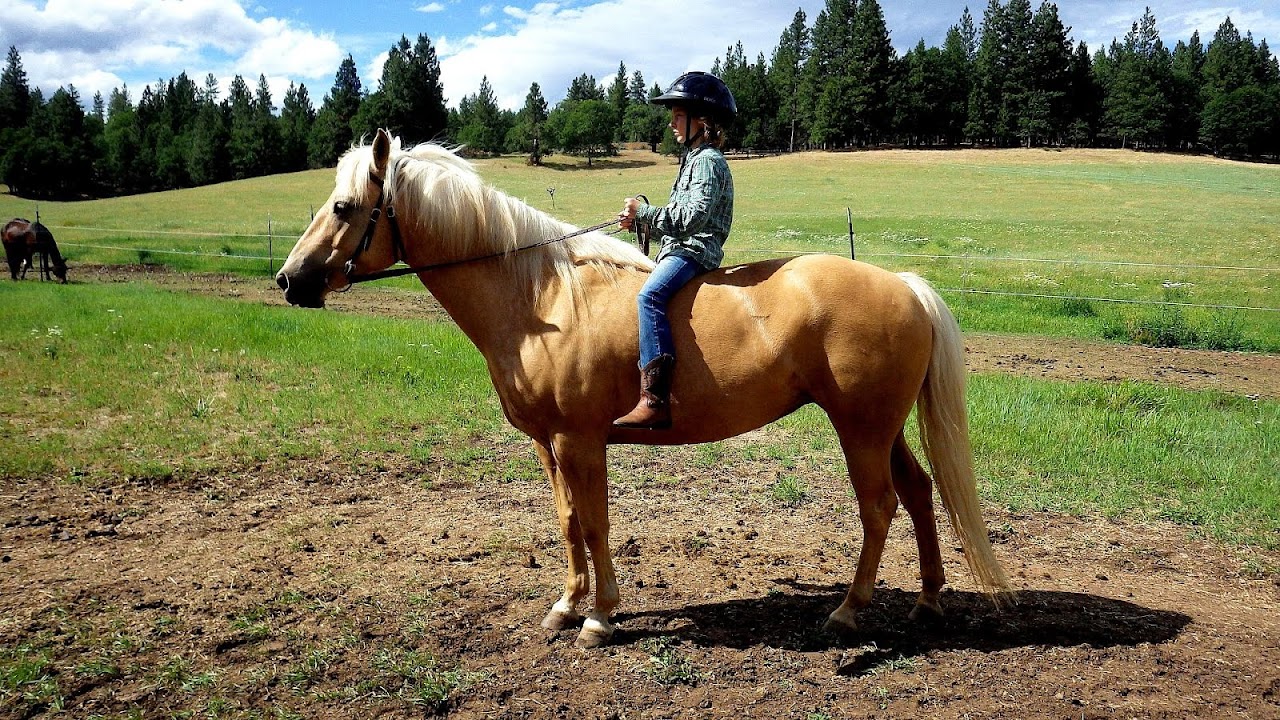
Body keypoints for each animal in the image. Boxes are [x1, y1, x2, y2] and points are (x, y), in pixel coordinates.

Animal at [276, 129, 1015, 648]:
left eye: (343, 206)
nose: (289, 280)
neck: (540, 298)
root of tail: (905, 285)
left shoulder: (580, 440)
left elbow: (596, 522)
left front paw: (600, 618)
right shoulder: (548, 444)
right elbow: (568, 521)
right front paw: (566, 606)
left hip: (860, 427)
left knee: (879, 507)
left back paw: (848, 611)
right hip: (882, 426)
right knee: (918, 493)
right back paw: (927, 600)